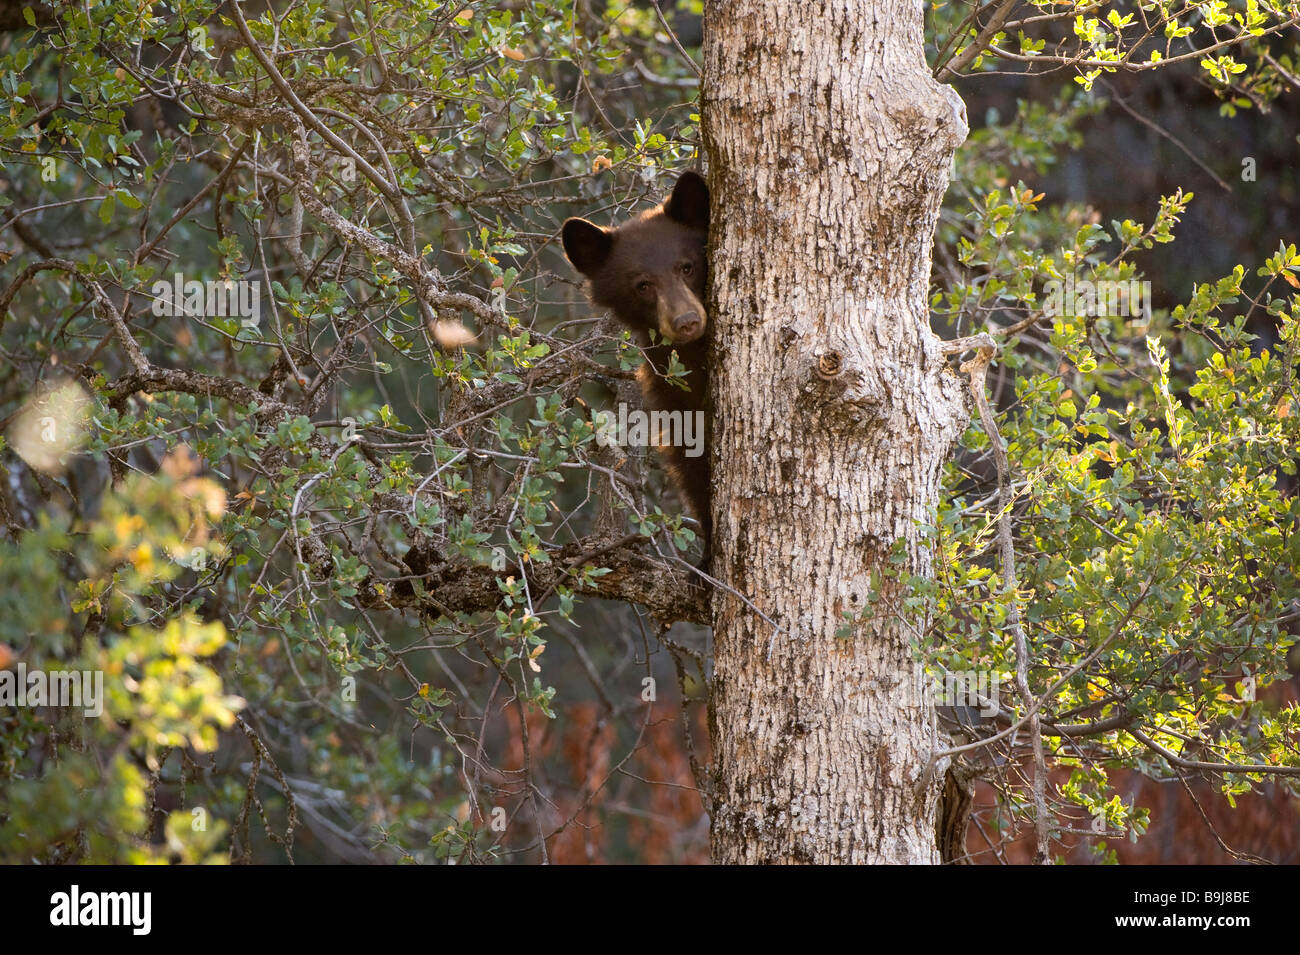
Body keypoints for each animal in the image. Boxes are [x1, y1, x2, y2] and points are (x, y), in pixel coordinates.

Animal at [561, 167, 717, 548]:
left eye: (687, 267)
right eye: (643, 285)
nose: (687, 322)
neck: (693, 355)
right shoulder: (671, 394)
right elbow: (692, 462)